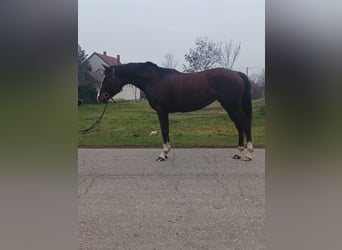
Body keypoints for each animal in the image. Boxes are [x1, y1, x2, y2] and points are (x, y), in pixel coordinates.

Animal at [97, 61, 252, 161]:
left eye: (107, 78)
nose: (100, 97)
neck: (154, 80)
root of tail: (237, 74)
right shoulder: (164, 111)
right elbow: (166, 130)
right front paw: (165, 153)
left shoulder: (161, 111)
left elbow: (164, 130)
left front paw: (163, 154)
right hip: (231, 107)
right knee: (239, 126)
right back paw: (238, 153)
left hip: (233, 106)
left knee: (245, 124)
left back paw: (248, 154)